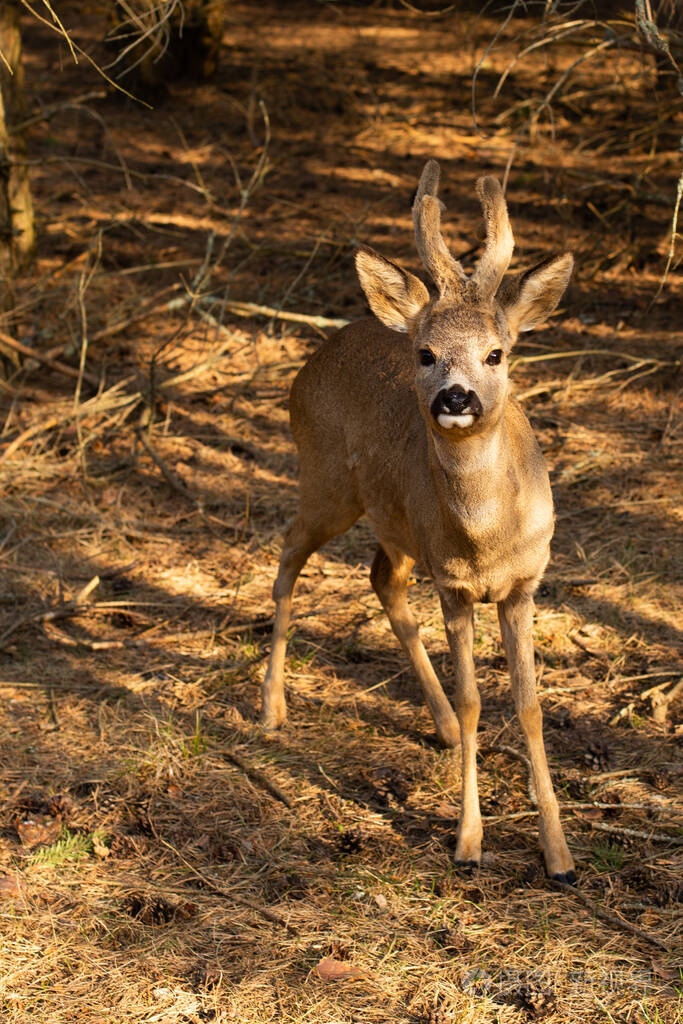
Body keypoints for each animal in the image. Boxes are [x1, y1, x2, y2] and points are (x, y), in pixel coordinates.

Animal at [261, 160, 576, 883]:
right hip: (326, 480)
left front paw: (558, 854)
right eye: (428, 353)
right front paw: (467, 843)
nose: (455, 398)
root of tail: (324, 349)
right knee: (287, 556)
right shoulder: (453, 587)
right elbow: (475, 697)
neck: (486, 541)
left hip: (394, 525)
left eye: (497, 353)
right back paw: (271, 710)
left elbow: (529, 705)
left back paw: (439, 728)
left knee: (381, 578)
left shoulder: (525, 584)